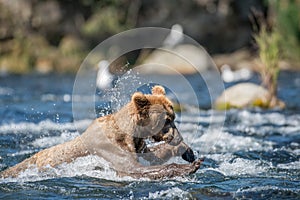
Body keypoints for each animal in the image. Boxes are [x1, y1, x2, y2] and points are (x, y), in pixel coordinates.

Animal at [0, 85, 202, 179]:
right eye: (166, 120)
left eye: (173, 117)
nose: (176, 137)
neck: (130, 133)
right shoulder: (111, 145)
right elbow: (131, 168)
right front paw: (191, 166)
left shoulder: (138, 145)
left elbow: (153, 156)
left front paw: (188, 152)